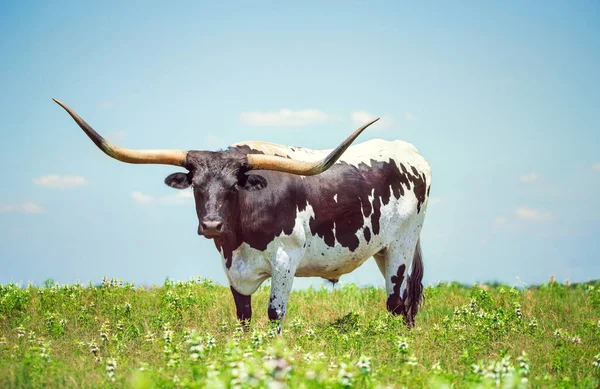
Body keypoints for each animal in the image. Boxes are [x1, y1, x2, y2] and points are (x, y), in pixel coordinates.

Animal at [55, 98, 432, 328]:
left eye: (233, 186)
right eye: (196, 186)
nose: (211, 224)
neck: (239, 235)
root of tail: (410, 153)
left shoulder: (285, 261)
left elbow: (274, 313)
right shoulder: (232, 268)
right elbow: (243, 315)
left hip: (402, 244)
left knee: (396, 302)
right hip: (382, 250)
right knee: (404, 305)